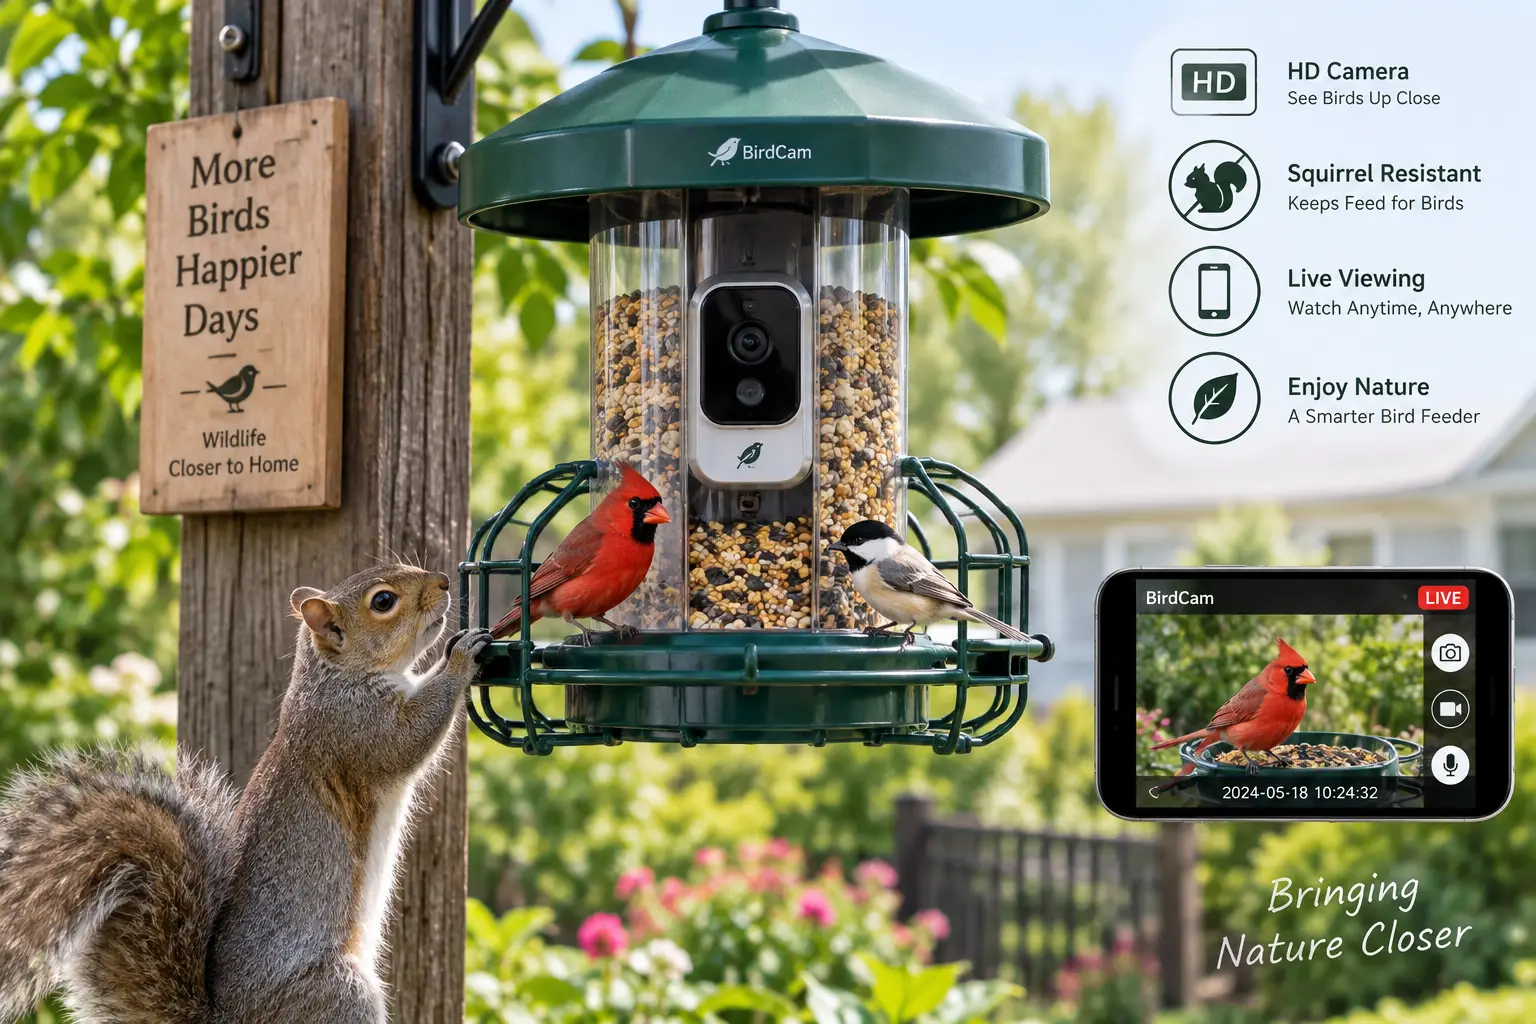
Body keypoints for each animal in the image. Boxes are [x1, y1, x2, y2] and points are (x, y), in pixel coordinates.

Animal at [0, 564, 493, 1024]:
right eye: (384, 601)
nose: (444, 581)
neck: (335, 675)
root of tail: (223, 1016)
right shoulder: (355, 727)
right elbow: (410, 736)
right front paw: (460, 659)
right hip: (341, 993)